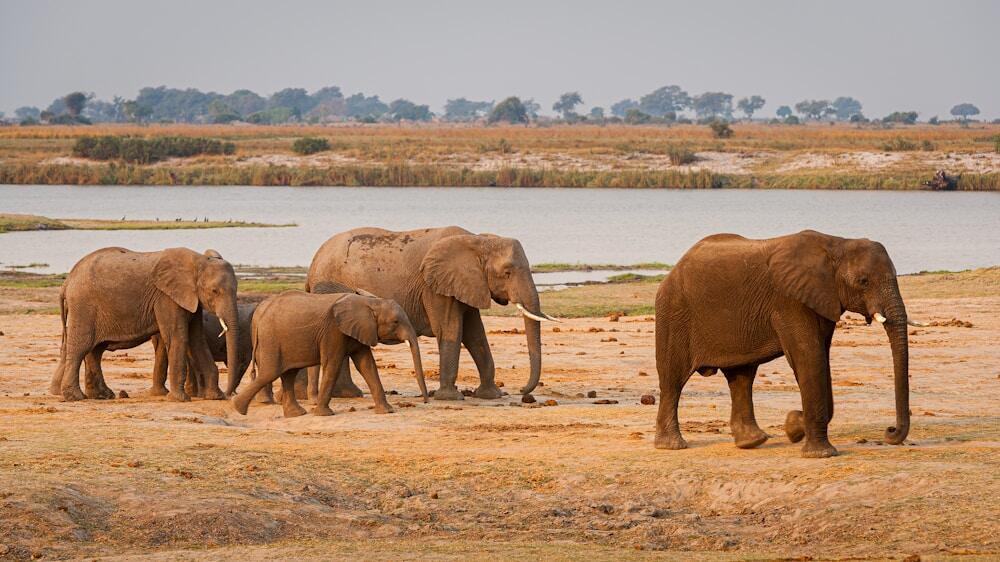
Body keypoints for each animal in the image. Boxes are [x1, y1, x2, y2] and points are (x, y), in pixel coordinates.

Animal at [50, 247, 240, 402]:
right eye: (214, 291)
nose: (229, 395)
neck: (198, 260)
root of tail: (66, 282)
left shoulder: (190, 300)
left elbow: (197, 340)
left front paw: (215, 396)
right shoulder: (166, 297)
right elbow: (178, 337)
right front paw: (180, 399)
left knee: (95, 350)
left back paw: (102, 395)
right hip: (83, 307)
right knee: (81, 347)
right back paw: (75, 397)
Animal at [231, 290, 428, 418]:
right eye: (395, 322)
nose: (426, 401)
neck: (370, 302)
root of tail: (258, 315)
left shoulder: (360, 330)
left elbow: (366, 365)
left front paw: (387, 411)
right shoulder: (333, 331)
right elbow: (333, 364)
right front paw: (324, 414)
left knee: (287, 374)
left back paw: (296, 414)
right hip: (271, 340)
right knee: (271, 372)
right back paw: (238, 408)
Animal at [306, 226, 556, 401]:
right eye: (507, 273)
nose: (522, 390)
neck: (477, 240)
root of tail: (313, 262)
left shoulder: (466, 285)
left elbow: (475, 334)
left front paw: (491, 395)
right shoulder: (434, 287)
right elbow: (450, 329)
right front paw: (451, 398)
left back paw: (348, 394)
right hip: (331, 287)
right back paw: (349, 395)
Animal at [654, 230, 915, 458]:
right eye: (863, 281)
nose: (890, 431)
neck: (837, 244)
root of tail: (674, 269)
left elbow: (821, 358)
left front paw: (793, 427)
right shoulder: (790, 301)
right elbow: (809, 356)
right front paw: (820, 454)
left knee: (742, 377)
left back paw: (752, 441)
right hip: (674, 312)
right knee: (673, 380)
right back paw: (672, 446)